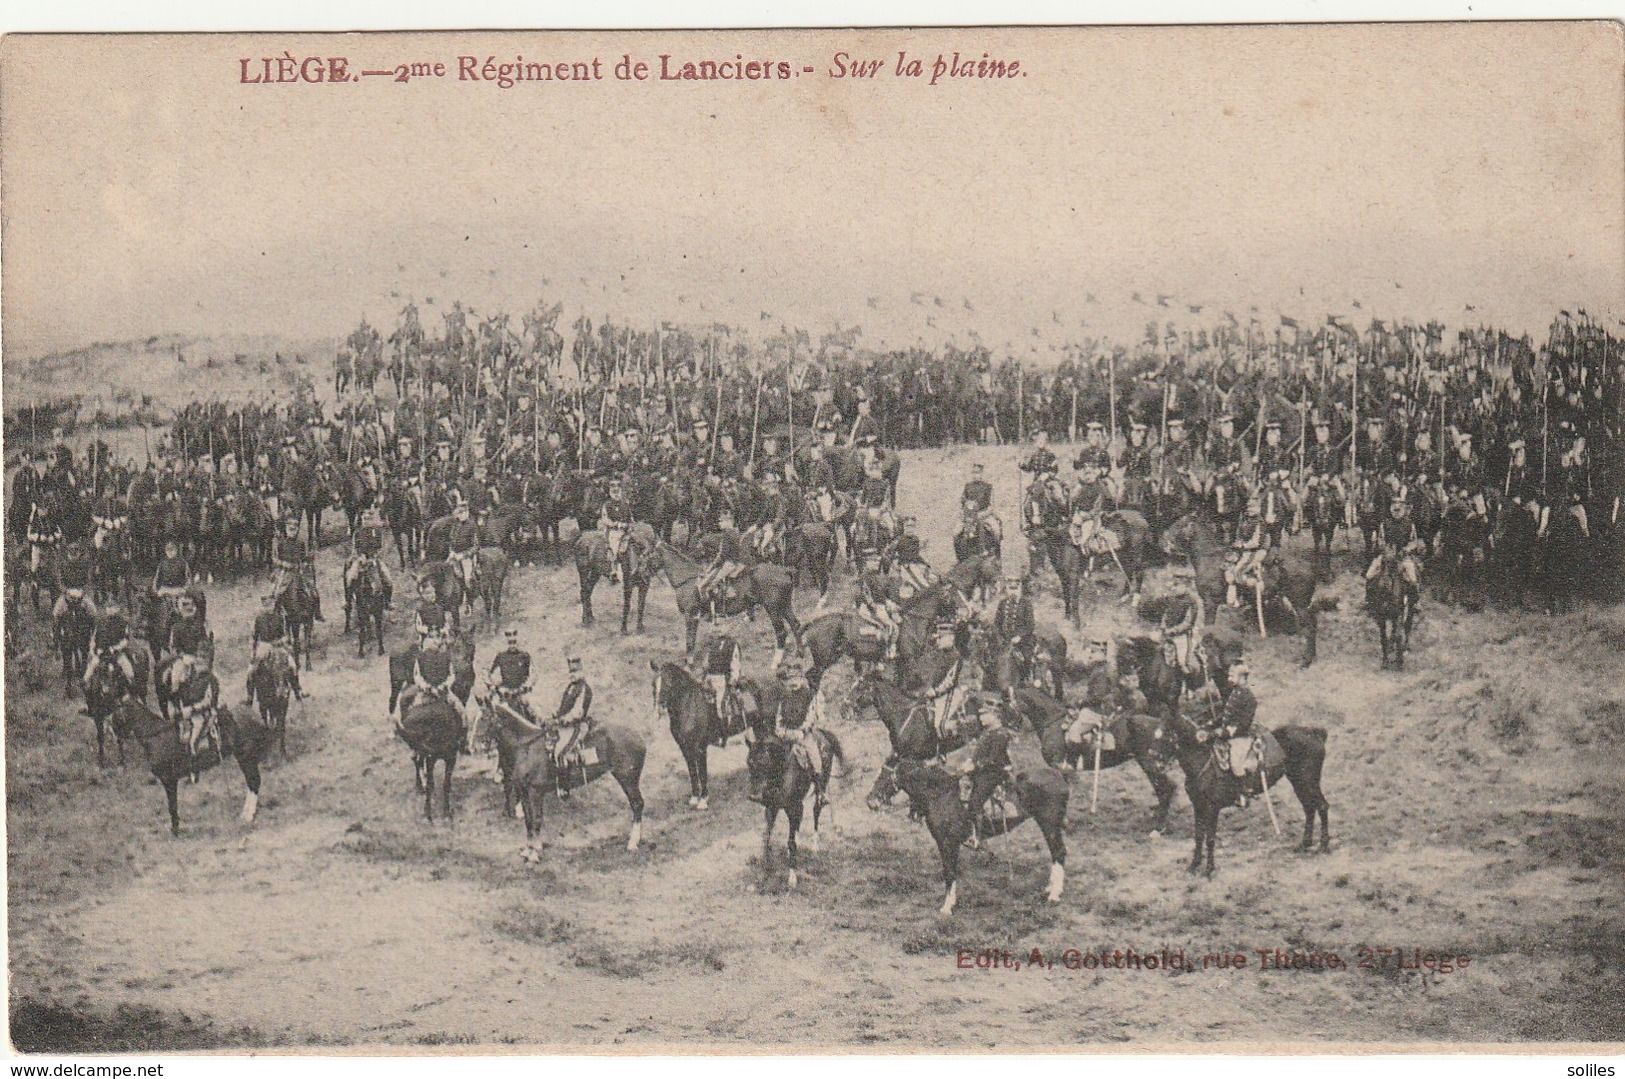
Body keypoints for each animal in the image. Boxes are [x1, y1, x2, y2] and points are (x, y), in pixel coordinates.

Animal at [484, 698, 650, 858]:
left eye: (485, 718)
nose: (480, 745)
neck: (527, 747)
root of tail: (638, 737)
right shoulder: (524, 791)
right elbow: (528, 820)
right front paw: (528, 849)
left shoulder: (535, 792)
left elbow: (537, 818)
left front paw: (535, 852)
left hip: (628, 779)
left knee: (637, 804)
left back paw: (632, 843)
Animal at [650, 656, 757, 809]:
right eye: (653, 684)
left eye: (668, 683)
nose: (657, 711)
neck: (689, 706)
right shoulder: (685, 748)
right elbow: (692, 771)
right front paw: (695, 797)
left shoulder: (700, 748)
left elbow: (702, 772)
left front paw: (703, 800)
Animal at [747, 721, 851, 890]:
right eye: (749, 763)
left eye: (764, 762)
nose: (753, 796)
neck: (781, 775)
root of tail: (822, 733)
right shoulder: (772, 809)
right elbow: (766, 837)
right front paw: (765, 870)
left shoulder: (794, 808)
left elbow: (791, 842)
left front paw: (792, 877)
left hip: (820, 786)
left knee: (817, 810)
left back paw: (815, 845)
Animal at [1170, 708, 1332, 877]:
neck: (1201, 760)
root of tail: (1315, 732)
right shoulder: (1198, 806)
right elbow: (1198, 836)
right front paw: (1194, 865)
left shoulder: (1212, 808)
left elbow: (1210, 838)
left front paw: (1209, 869)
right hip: (1298, 782)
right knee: (1309, 808)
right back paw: (1305, 844)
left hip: (1309, 782)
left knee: (1322, 806)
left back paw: (1323, 846)